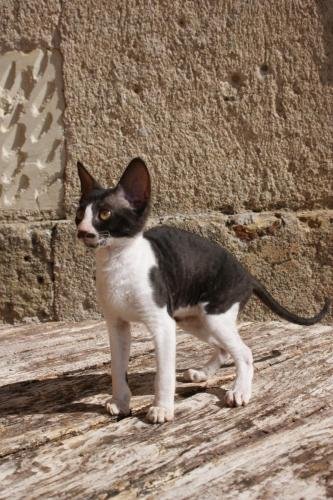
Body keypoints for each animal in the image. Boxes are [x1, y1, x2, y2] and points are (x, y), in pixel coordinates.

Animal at [74, 156, 330, 422]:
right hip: (193, 319)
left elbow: (163, 374)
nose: (82, 231)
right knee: (224, 349)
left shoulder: (162, 324)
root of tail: (249, 276)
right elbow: (118, 368)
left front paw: (162, 408)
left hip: (214, 317)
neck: (117, 263)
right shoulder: (117, 325)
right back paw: (203, 374)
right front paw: (120, 402)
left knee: (245, 353)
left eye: (105, 213)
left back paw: (239, 391)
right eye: (79, 213)